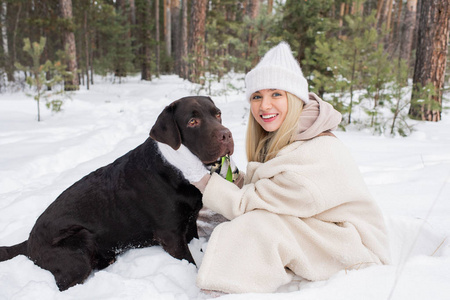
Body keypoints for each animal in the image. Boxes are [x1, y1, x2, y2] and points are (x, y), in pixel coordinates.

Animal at [0, 96, 232, 290]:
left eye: (218, 114)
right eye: (192, 122)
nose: (227, 135)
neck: (176, 168)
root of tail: (29, 242)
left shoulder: (190, 221)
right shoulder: (170, 234)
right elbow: (189, 262)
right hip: (78, 242)